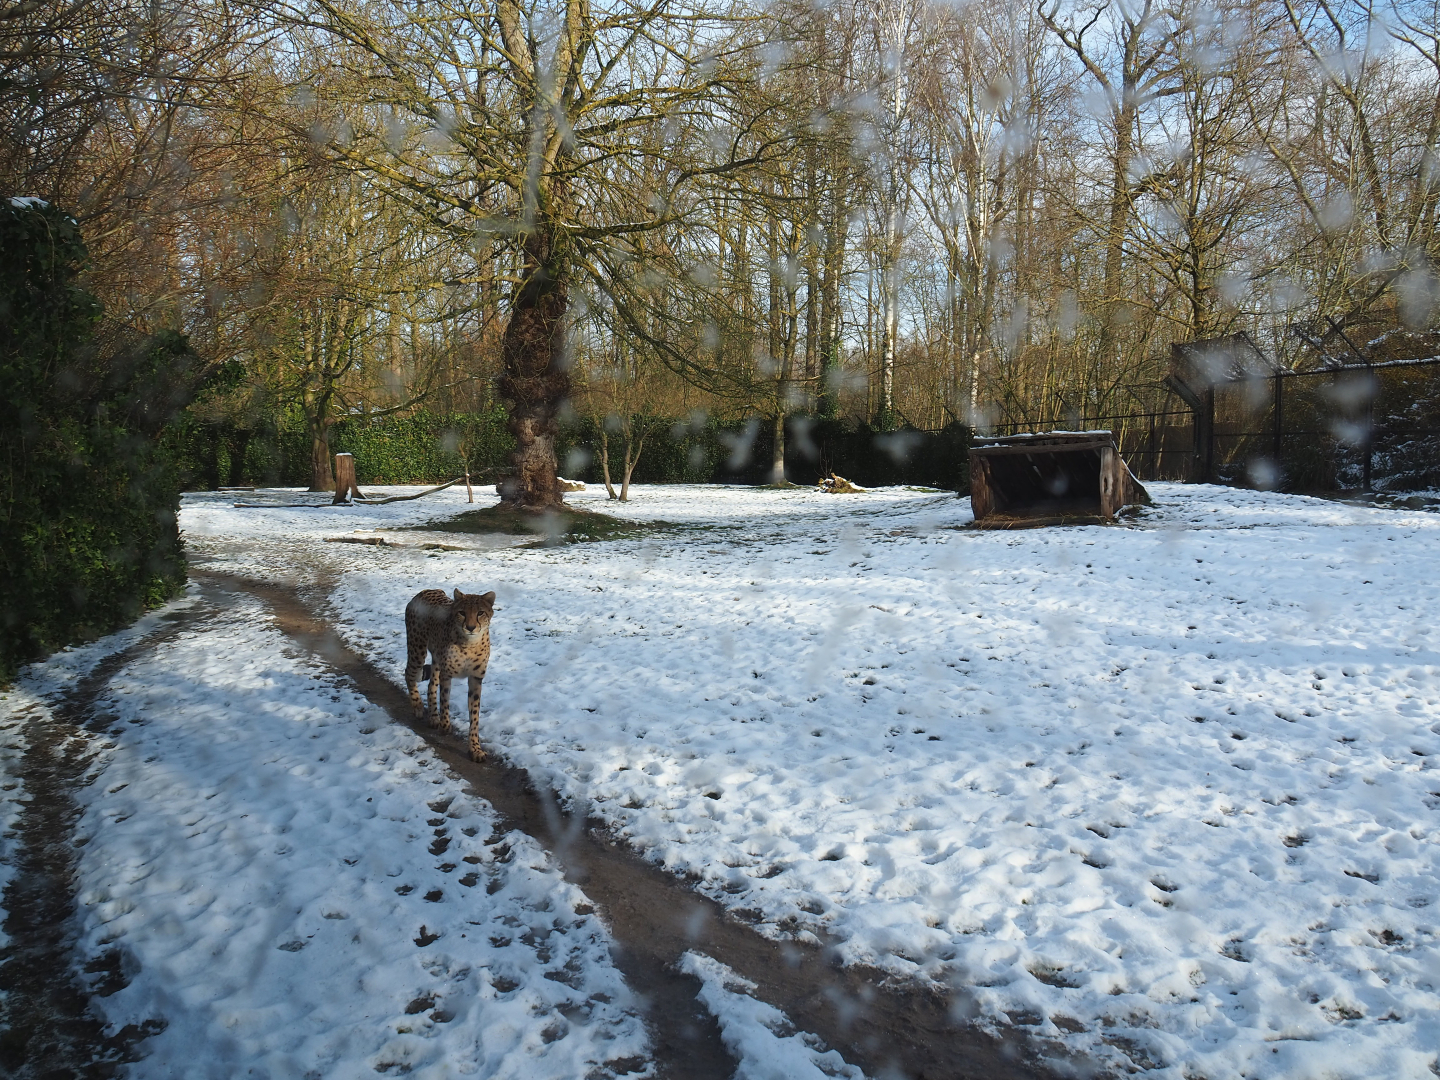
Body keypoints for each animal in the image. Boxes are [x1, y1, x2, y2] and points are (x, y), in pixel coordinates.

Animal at [404, 588, 495, 761]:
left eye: (480, 612)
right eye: (462, 612)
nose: (471, 627)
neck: (469, 644)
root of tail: (427, 590)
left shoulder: (475, 679)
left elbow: (474, 715)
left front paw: (475, 748)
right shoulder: (446, 674)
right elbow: (445, 700)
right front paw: (445, 725)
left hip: (436, 660)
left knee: (431, 685)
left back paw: (433, 717)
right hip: (417, 650)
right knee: (408, 673)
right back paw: (418, 706)